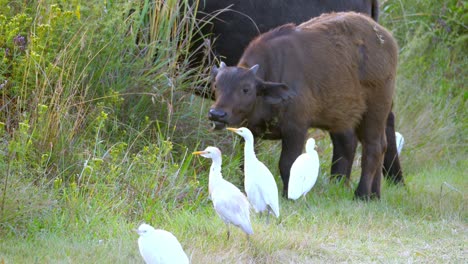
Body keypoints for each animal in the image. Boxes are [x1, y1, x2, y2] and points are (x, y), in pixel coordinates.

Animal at [190, 1, 402, 193]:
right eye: (216, 85)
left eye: (246, 89)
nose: (217, 114)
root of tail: (385, 38)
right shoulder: (249, 130)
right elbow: (246, 161)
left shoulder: (296, 129)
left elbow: (288, 164)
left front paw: (289, 194)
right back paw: (373, 193)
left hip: (377, 109)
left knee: (374, 147)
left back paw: (362, 193)